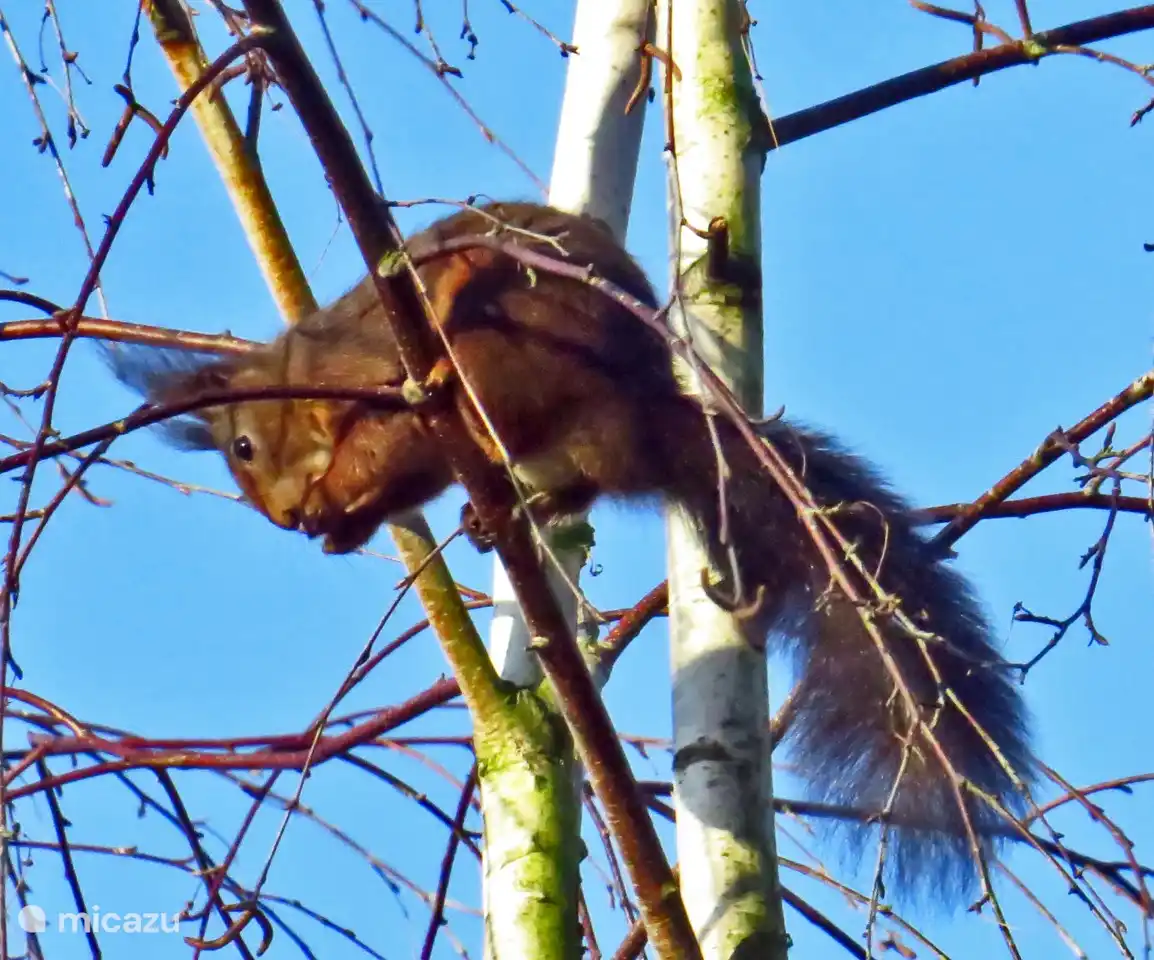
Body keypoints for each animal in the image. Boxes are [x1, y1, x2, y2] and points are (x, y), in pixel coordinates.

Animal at [113, 201, 1034, 898]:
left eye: (243, 447)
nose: (287, 520)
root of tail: (647, 411)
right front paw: (340, 527)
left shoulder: (378, 381)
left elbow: (390, 447)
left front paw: (341, 494)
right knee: (579, 484)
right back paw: (503, 513)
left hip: (511, 353)